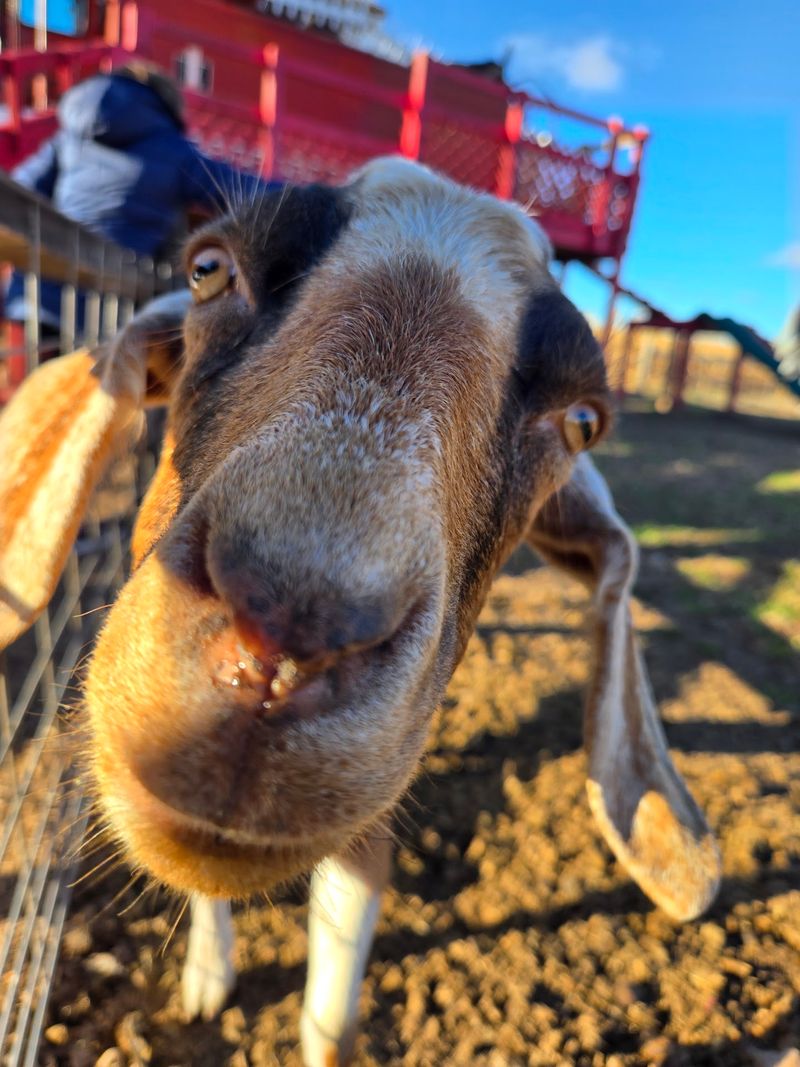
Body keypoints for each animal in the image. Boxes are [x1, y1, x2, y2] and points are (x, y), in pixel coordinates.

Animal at [0, 158, 721, 1067]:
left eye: (583, 420)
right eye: (207, 269)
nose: (281, 640)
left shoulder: (367, 820)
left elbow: (333, 1009)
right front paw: (206, 976)